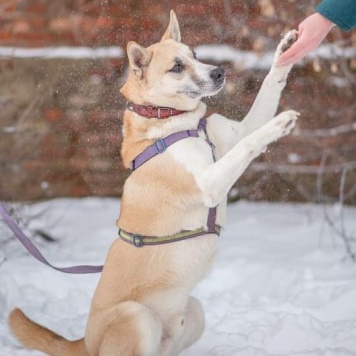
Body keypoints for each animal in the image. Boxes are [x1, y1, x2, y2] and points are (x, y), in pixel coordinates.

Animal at [8, 9, 298, 354]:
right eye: (177, 67)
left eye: (195, 55)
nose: (219, 72)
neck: (174, 121)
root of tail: (85, 343)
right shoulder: (209, 182)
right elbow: (250, 142)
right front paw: (279, 123)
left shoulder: (234, 134)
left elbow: (267, 92)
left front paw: (286, 50)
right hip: (137, 316)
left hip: (194, 313)